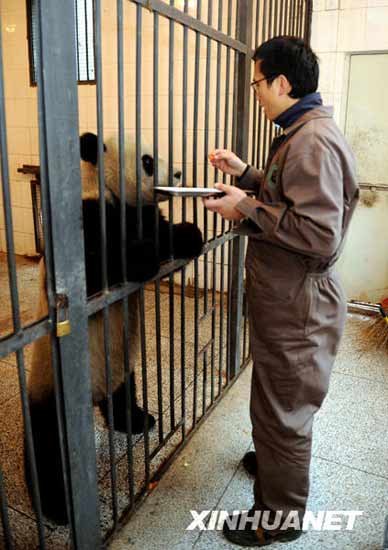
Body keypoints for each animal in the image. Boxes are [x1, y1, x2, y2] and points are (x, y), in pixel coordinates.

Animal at [25, 133, 203, 528]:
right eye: (148, 160)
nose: (179, 173)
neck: (107, 190)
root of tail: (92, 395)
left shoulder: (142, 215)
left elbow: (164, 237)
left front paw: (190, 235)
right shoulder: (86, 216)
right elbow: (88, 276)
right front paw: (141, 256)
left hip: (120, 362)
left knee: (123, 392)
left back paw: (138, 420)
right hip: (53, 389)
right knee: (49, 448)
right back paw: (57, 507)